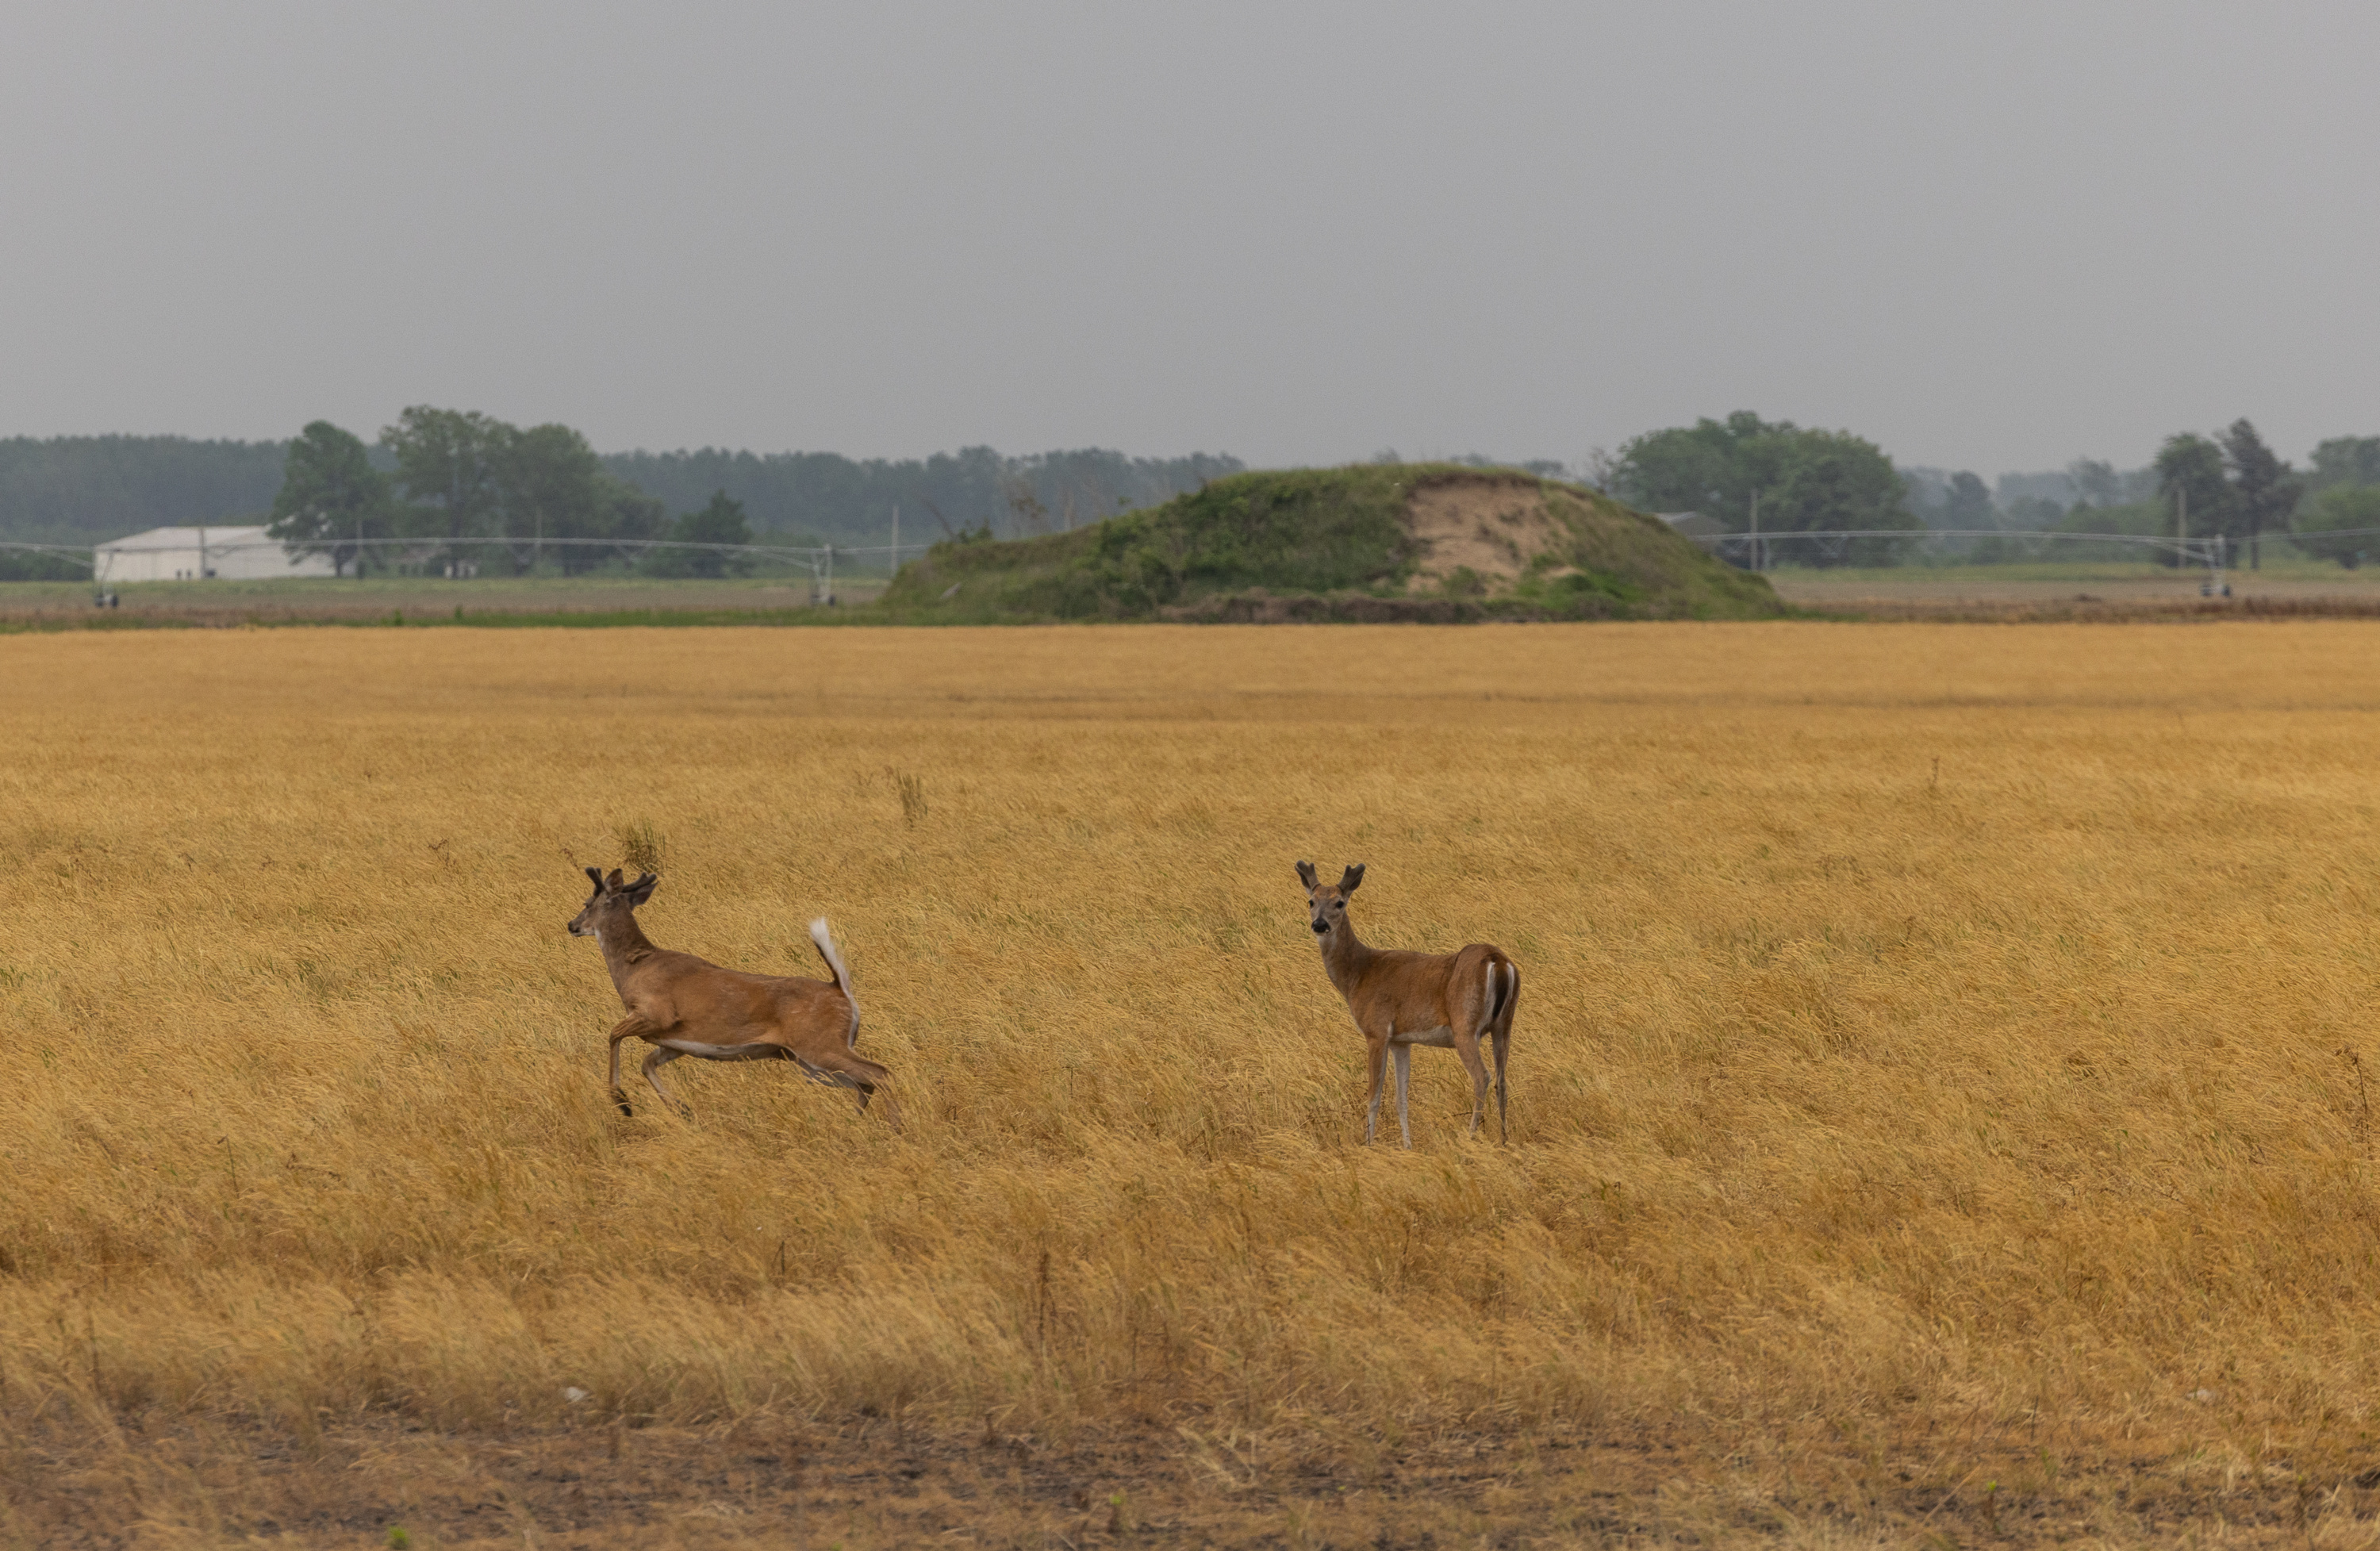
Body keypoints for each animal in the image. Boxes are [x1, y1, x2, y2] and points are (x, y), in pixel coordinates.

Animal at [567, 867, 900, 1131]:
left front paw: (622, 1103)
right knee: (865, 1082)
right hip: (807, 1060)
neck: (634, 967)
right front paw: (681, 1109)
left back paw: (894, 1129)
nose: (572, 925)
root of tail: (840, 990)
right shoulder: (672, 1042)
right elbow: (646, 1063)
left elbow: (613, 1035)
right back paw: (855, 1124)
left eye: (588, 903)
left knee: (880, 1073)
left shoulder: (657, 1013)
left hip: (819, 1045)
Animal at [1297, 861, 1519, 1147]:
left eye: (1339, 903)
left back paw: (1470, 1136)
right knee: (1502, 1080)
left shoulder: (1377, 1030)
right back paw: (1504, 1139)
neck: (1358, 974)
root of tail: (1498, 961)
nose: (1320, 924)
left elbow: (1374, 1096)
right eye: (1311, 901)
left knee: (1483, 1076)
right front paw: (1408, 1146)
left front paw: (1369, 1144)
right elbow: (1401, 1099)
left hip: (1465, 1024)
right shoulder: (1401, 1041)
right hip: (1504, 1024)